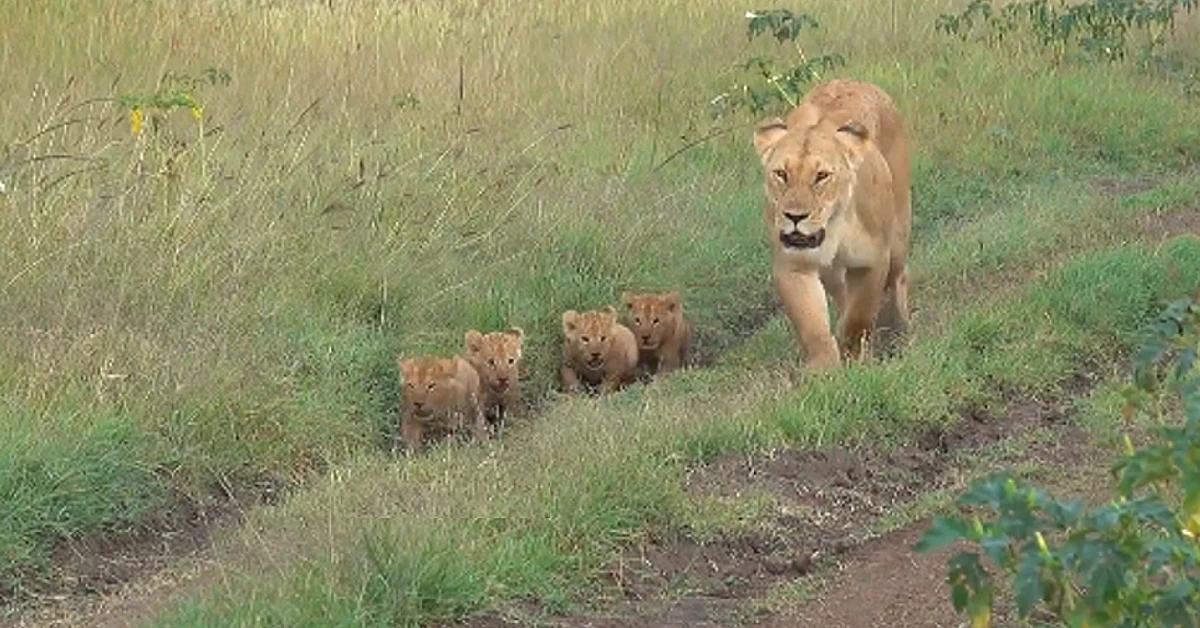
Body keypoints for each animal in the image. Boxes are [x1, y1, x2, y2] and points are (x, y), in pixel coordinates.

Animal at [752, 78, 912, 370]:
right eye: (781, 174)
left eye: (822, 176)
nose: (795, 217)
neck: (832, 230)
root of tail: (857, 81)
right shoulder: (793, 266)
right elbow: (812, 327)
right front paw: (824, 370)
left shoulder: (872, 261)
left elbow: (857, 318)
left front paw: (855, 357)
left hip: (897, 241)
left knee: (897, 279)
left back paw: (899, 330)